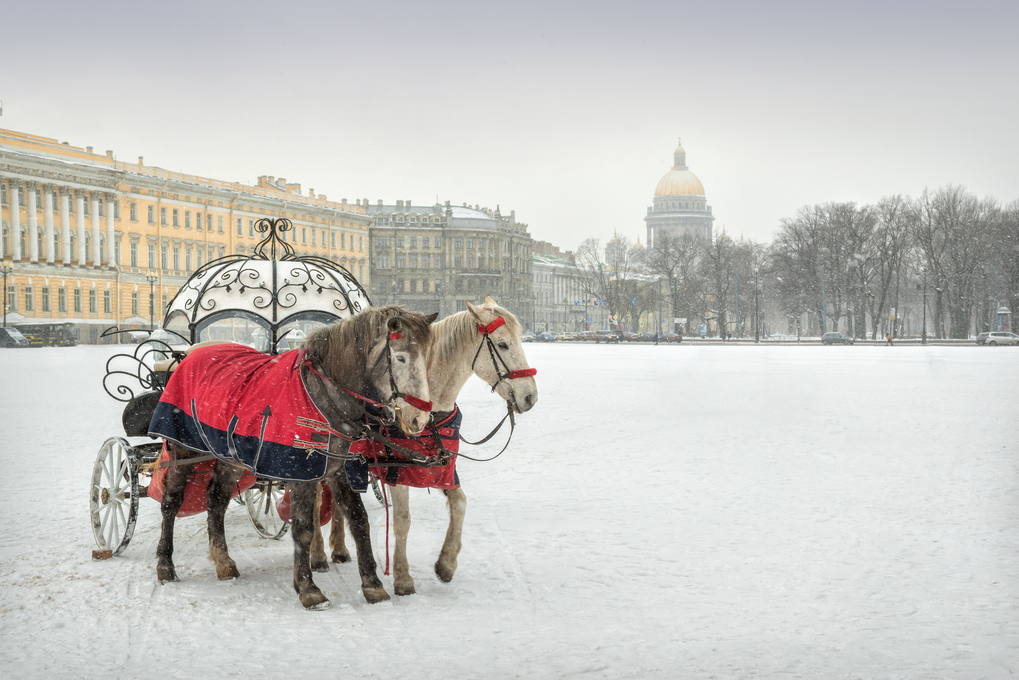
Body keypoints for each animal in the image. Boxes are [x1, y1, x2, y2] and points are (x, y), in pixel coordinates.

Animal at [154, 305, 434, 607]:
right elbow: (304, 528)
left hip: (230, 457)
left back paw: (223, 561)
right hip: (183, 449)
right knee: (171, 502)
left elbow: (359, 521)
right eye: (401, 357)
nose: (420, 418)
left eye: (426, 357)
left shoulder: (339, 469)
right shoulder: (300, 474)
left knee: (216, 498)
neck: (322, 395)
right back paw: (165, 564)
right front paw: (308, 588)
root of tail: (191, 354)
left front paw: (372, 584)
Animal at [322, 299, 538, 595]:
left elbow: (459, 504)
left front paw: (446, 563)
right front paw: (402, 577)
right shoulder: (397, 470)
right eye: (503, 344)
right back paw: (317, 555)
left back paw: (339, 546)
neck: (432, 411)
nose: (530, 395)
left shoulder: (443, 466)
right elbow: (402, 519)